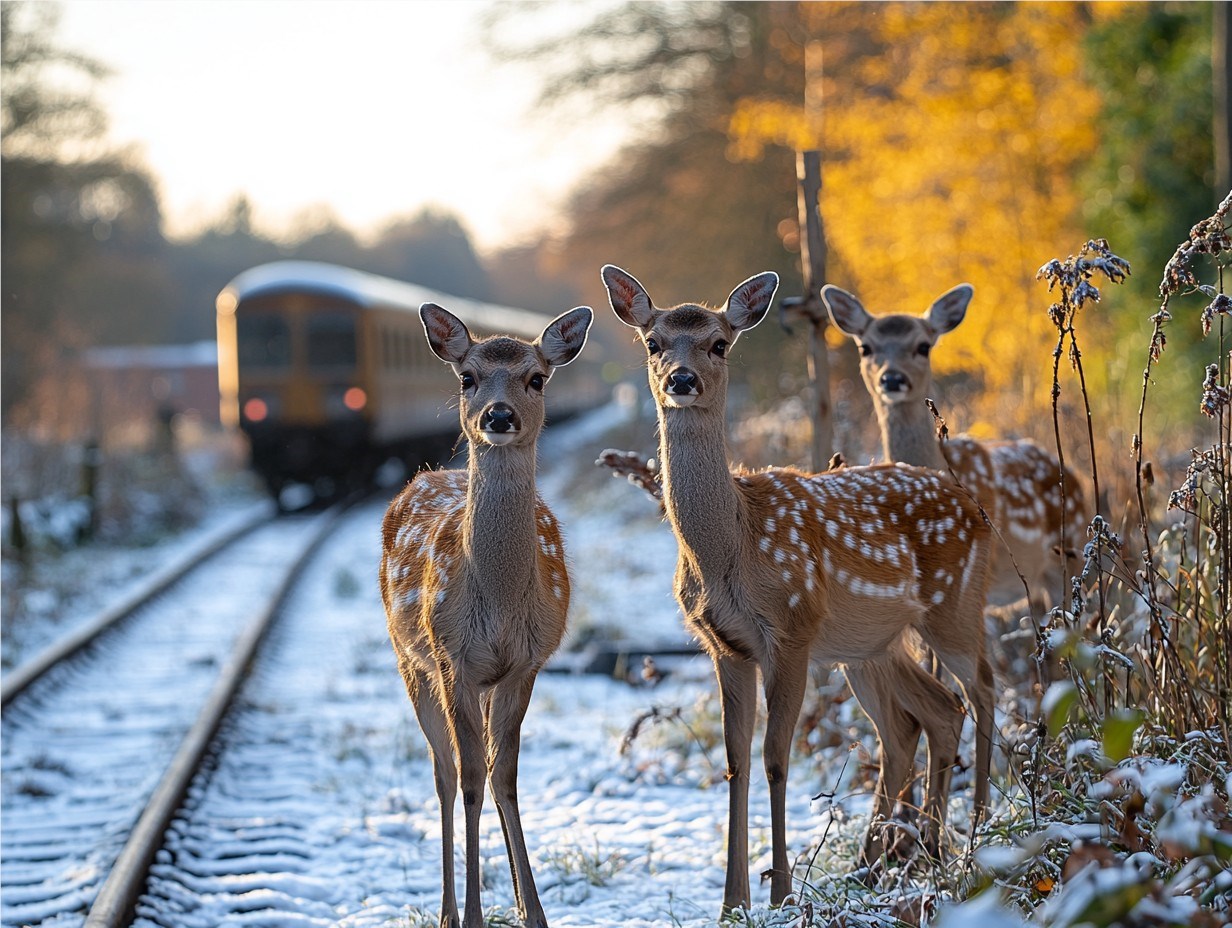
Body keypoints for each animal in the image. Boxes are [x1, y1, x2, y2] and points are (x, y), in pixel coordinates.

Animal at [381, 300, 593, 921]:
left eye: (537, 377)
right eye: (467, 377)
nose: (498, 416)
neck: (497, 600)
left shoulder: (526, 663)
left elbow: (508, 777)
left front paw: (536, 913)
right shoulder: (453, 657)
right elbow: (472, 776)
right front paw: (472, 914)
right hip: (411, 660)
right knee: (444, 773)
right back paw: (447, 910)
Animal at [601, 263, 995, 916]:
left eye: (719, 343)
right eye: (653, 343)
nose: (681, 380)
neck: (731, 546)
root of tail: (975, 506)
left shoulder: (791, 632)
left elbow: (776, 758)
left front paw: (782, 892)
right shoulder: (725, 646)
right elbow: (735, 761)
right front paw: (732, 903)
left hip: (954, 608)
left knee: (983, 693)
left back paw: (974, 837)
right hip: (869, 645)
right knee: (932, 714)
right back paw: (903, 857)